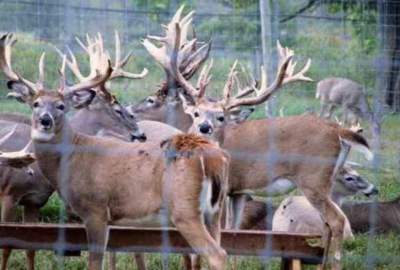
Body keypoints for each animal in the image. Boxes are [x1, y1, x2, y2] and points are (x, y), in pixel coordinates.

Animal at [0, 32, 231, 270]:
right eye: (35, 104)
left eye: (61, 106)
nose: (45, 120)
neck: (73, 157)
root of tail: (214, 158)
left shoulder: (95, 209)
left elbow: (95, 262)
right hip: (215, 210)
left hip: (185, 209)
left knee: (218, 255)